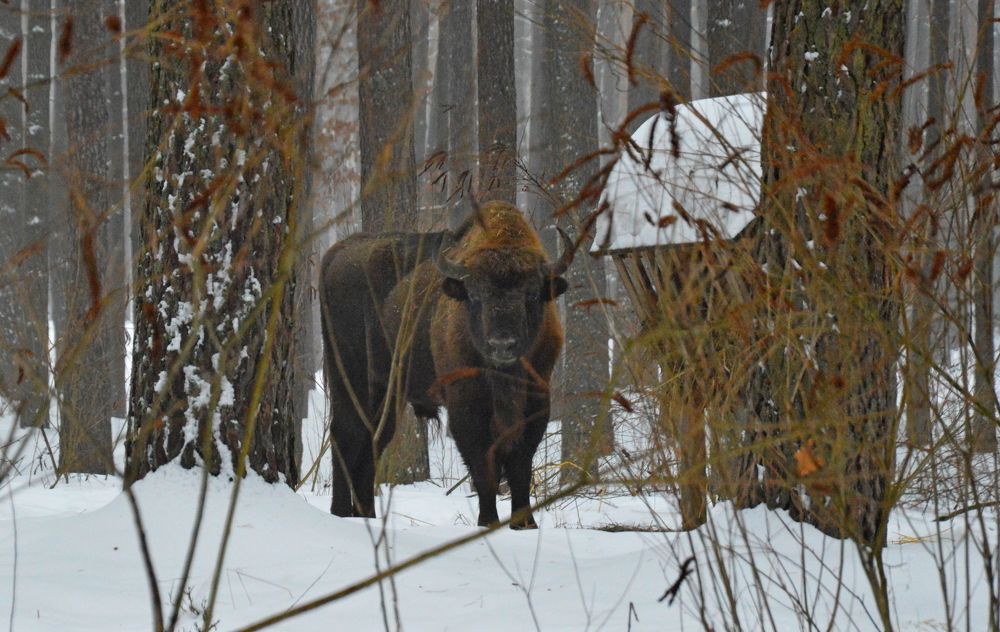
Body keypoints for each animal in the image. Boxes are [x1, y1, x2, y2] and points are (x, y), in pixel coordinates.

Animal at [321, 201, 573, 529]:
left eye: (531, 294)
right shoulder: (465, 406)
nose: (501, 345)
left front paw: (525, 524)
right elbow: (483, 467)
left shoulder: (537, 402)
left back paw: (367, 516)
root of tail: (338, 251)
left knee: (372, 441)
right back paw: (340, 513)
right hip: (350, 379)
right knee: (346, 435)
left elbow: (521, 467)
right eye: (475, 294)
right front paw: (488, 522)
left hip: (385, 392)